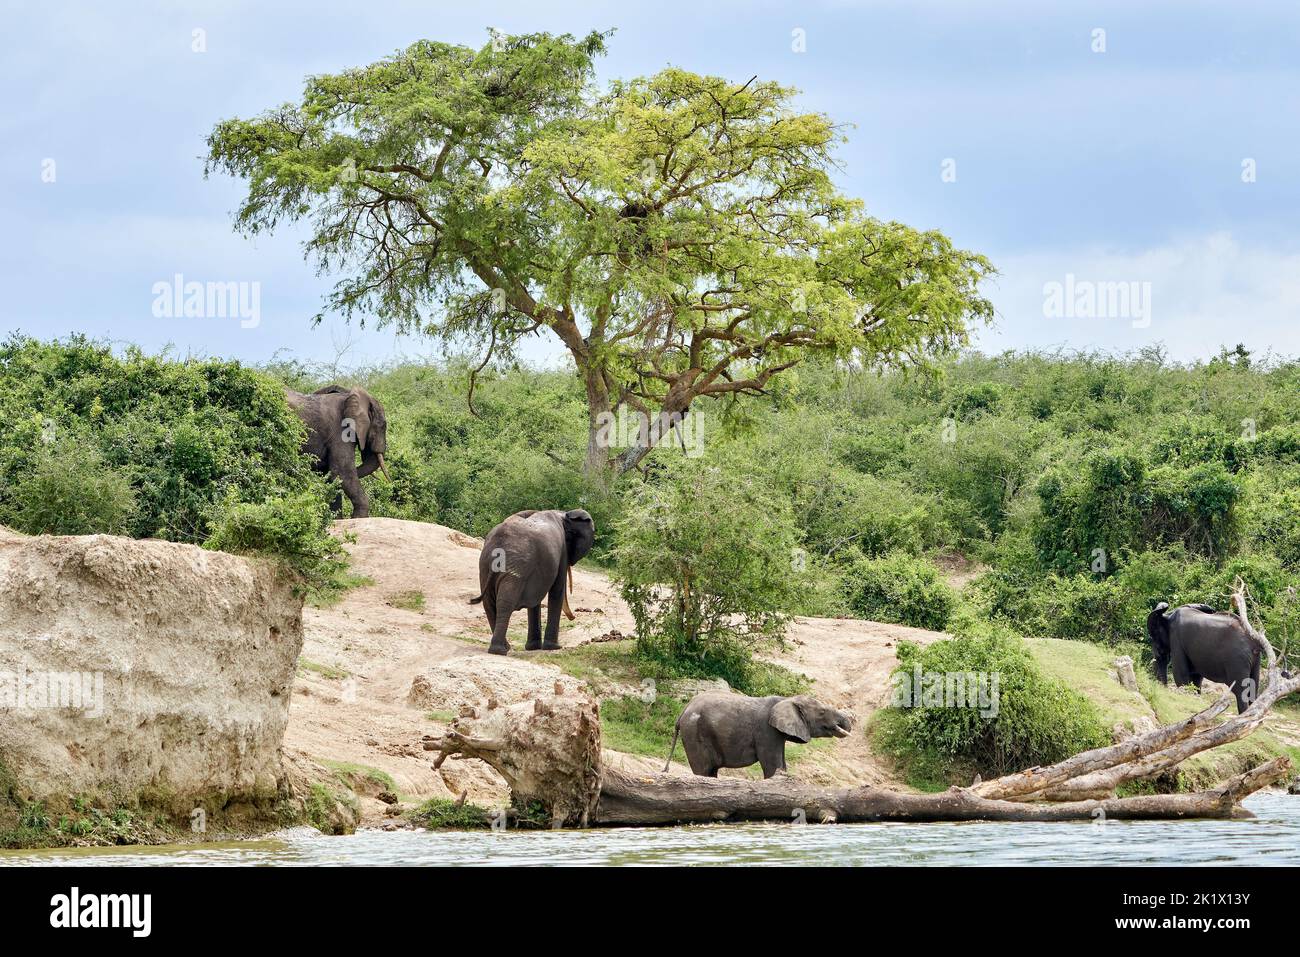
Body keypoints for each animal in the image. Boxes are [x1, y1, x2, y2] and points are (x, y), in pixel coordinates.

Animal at [284, 382, 384, 520]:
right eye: (383, 427)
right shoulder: (340, 431)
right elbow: (341, 471)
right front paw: (358, 518)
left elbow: (333, 476)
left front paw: (336, 519)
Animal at [467, 509, 595, 657]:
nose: (574, 617)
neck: (564, 514)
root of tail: (498, 543)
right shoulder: (562, 552)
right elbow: (557, 590)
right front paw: (554, 647)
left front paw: (533, 648)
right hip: (516, 565)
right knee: (505, 602)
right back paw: (499, 651)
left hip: (485, 565)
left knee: (489, 604)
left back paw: (504, 648)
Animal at [665, 696, 857, 780]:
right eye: (822, 712)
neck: (787, 699)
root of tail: (682, 712)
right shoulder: (766, 731)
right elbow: (772, 765)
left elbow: (781, 765)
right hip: (694, 732)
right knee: (703, 770)